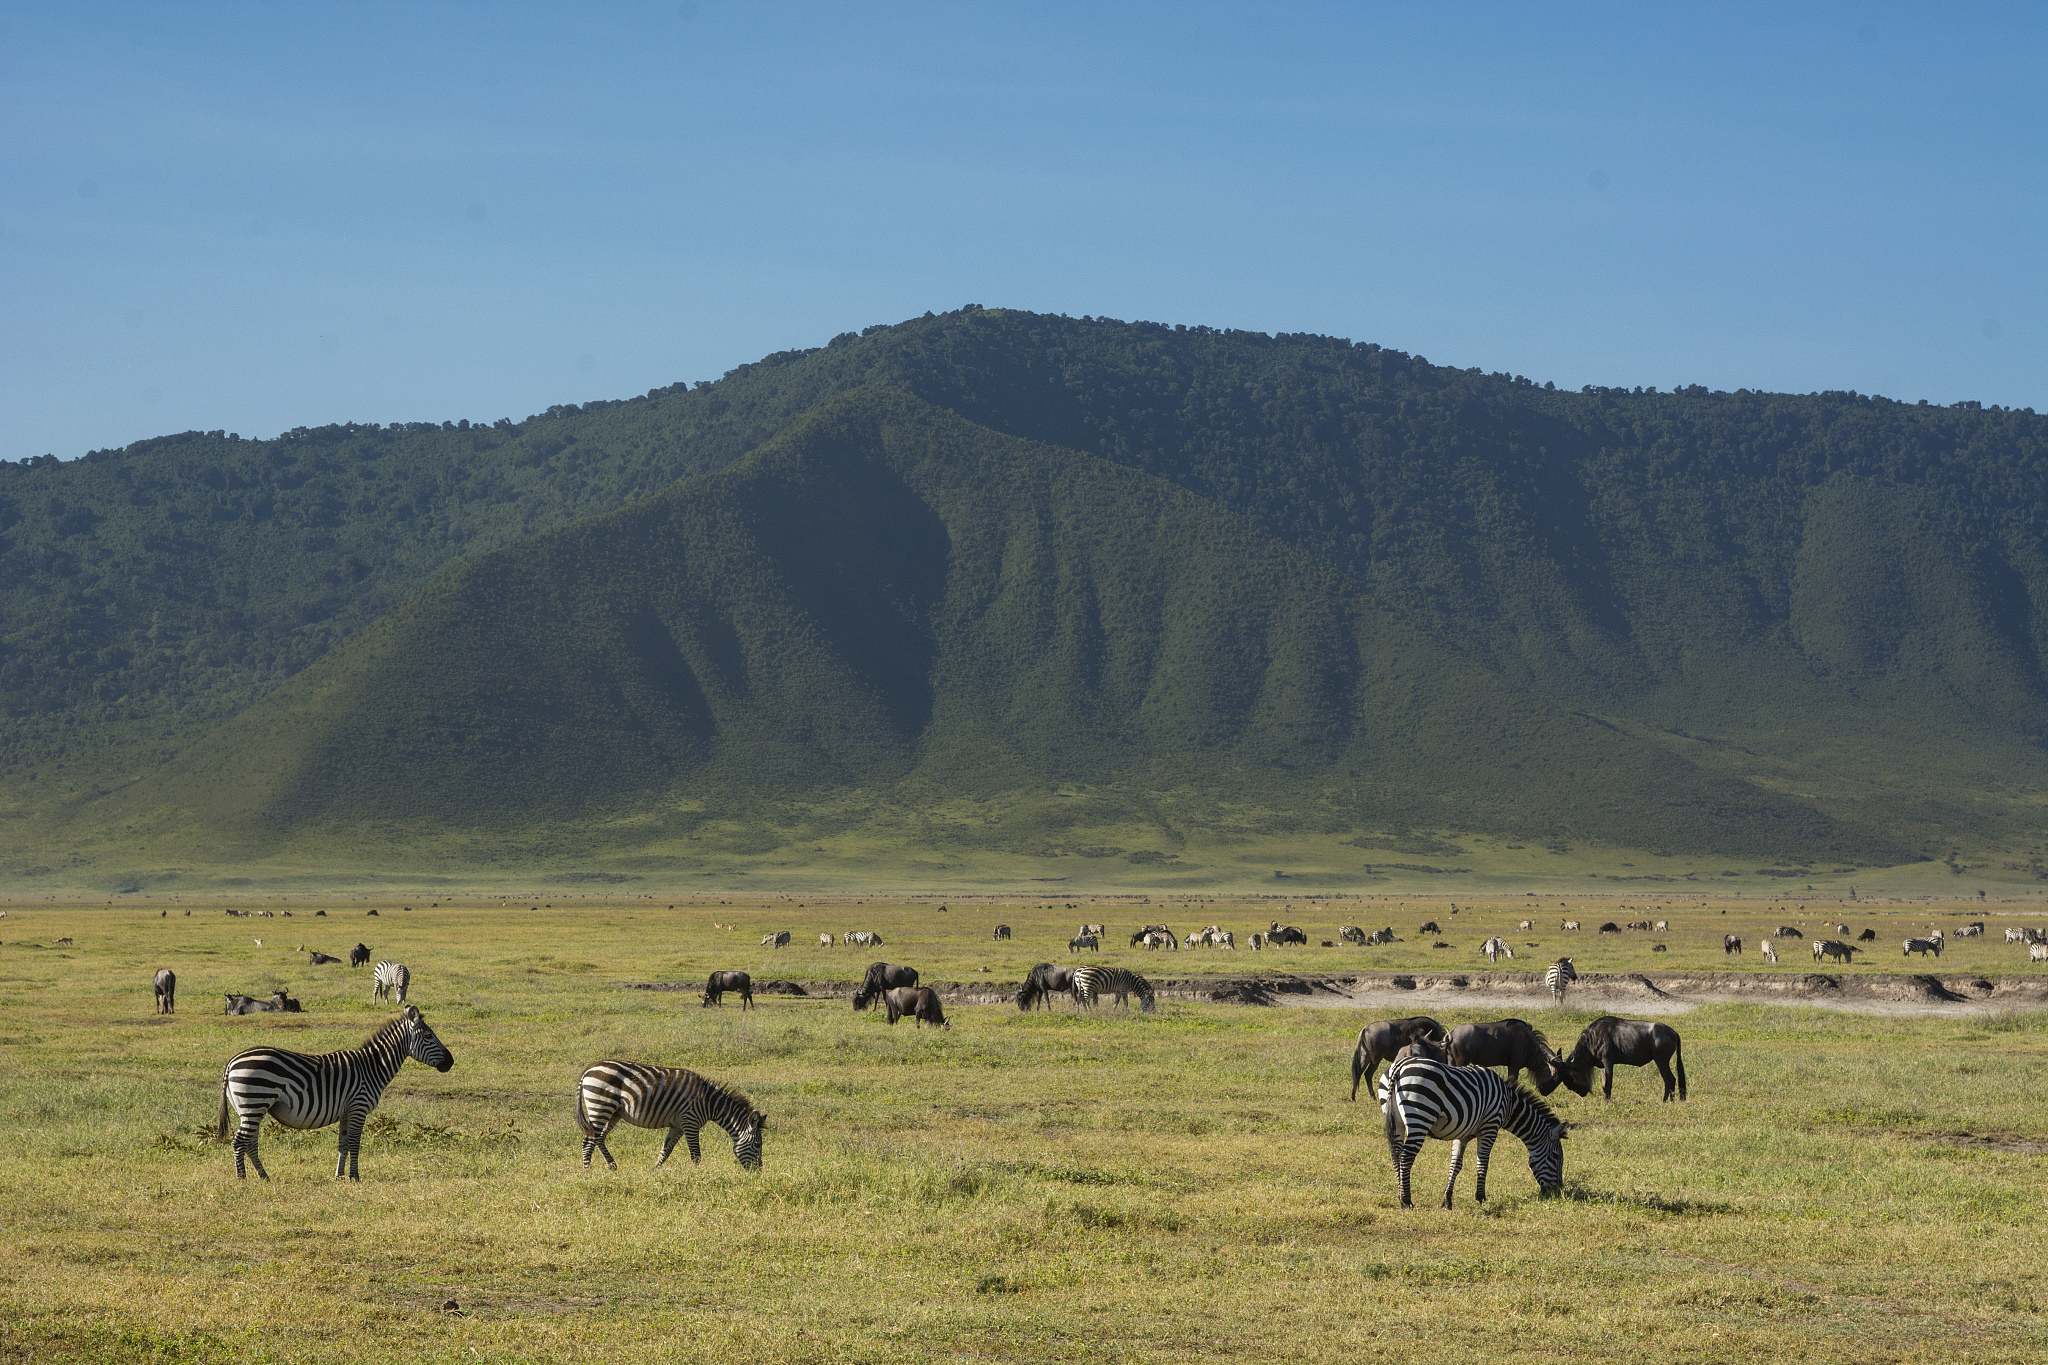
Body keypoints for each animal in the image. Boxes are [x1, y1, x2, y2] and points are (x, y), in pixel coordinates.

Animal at [216, 1004, 454, 1180]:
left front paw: (339, 1176)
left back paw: (264, 1176)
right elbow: (355, 1144)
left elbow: (343, 1144)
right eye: (428, 1035)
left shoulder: (347, 1112)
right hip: (255, 1102)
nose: (451, 1062)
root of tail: (232, 1062)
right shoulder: (358, 1107)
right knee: (239, 1142)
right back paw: (242, 1179)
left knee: (250, 1143)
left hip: (249, 1108)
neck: (372, 1067)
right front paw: (355, 1177)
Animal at [575, 1060, 766, 1172]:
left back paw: (612, 1166)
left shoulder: (678, 1126)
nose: (758, 1171)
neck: (709, 1103)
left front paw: (654, 1171)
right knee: (589, 1140)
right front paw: (698, 1177)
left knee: (599, 1138)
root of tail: (589, 1069)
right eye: (757, 1144)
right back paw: (587, 1172)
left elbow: (665, 1151)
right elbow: (696, 1154)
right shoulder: (690, 1121)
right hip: (601, 1104)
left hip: (613, 1112)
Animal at [1376, 1056, 1566, 1208]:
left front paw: (1447, 1200)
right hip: (1420, 1117)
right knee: (1406, 1156)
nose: (1558, 1192)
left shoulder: (1463, 1133)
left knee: (1395, 1154)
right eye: (1556, 1156)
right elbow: (1483, 1162)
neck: (1509, 1104)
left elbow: (1455, 1165)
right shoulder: (1490, 1125)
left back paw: (1400, 1194)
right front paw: (1481, 1197)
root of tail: (1399, 1066)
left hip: (1395, 1120)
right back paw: (1406, 1200)